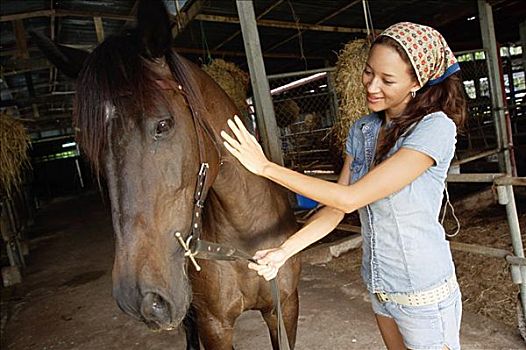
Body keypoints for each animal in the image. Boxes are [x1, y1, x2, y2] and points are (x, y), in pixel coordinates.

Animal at [32, 1, 302, 348]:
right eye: (90, 150)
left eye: (163, 124)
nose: (140, 299)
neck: (247, 238)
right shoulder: (214, 325)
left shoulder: (285, 309)